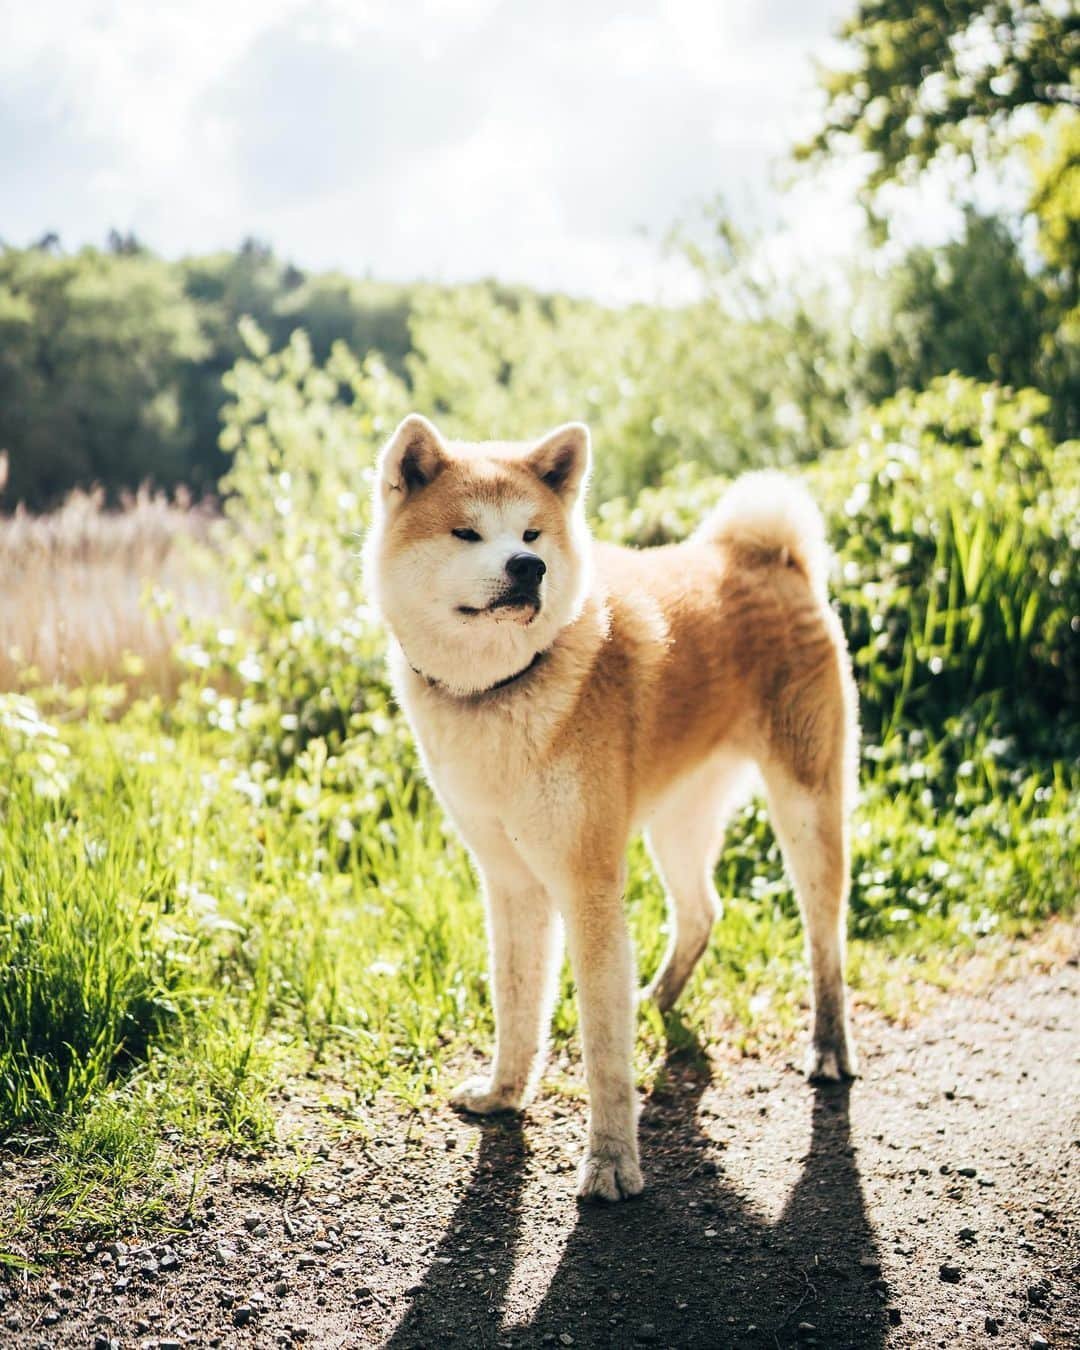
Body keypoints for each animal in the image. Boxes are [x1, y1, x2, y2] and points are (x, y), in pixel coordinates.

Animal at [367, 413, 858, 1204]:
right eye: (468, 533)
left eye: (532, 534)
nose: (527, 568)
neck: (504, 689)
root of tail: (763, 553)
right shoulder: (510, 882)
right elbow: (517, 1002)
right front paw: (505, 1094)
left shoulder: (587, 883)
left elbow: (602, 1045)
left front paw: (610, 1163)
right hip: (677, 825)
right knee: (703, 910)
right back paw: (657, 995)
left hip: (808, 810)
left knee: (826, 939)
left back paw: (829, 1045)